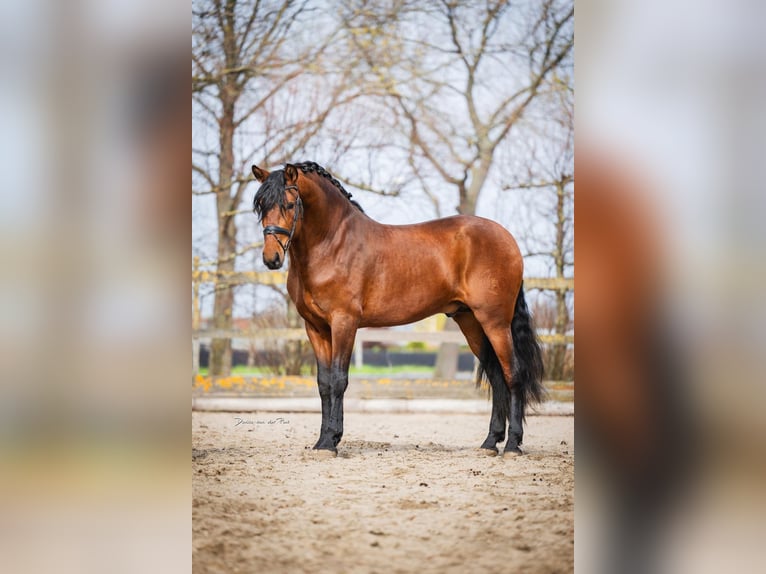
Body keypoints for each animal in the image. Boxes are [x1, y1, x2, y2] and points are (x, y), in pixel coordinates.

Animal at [252, 161, 545, 457]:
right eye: (261, 204)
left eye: (290, 204)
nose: (271, 258)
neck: (332, 243)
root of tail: (507, 238)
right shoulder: (315, 327)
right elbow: (324, 383)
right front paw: (324, 441)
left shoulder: (344, 322)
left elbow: (338, 379)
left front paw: (330, 441)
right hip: (470, 321)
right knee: (495, 376)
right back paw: (489, 443)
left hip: (495, 321)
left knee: (512, 374)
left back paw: (512, 445)